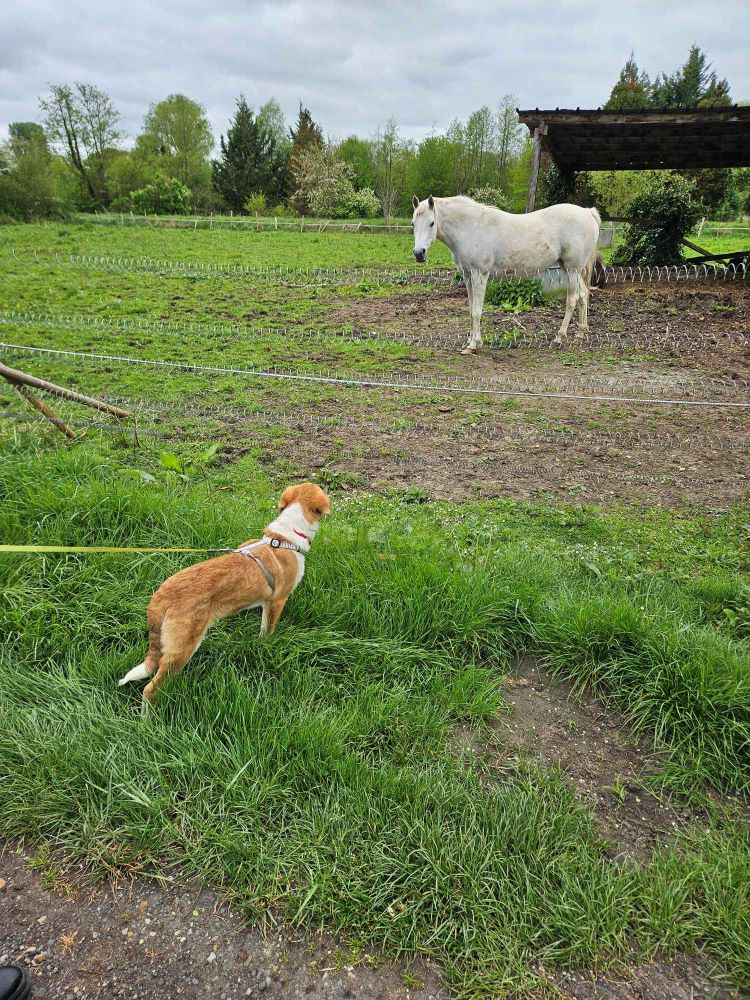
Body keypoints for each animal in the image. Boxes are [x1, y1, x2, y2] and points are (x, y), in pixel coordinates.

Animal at [119, 482, 330, 712]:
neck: (285, 537)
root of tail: (162, 595)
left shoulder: (266, 602)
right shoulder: (277, 601)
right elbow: (268, 630)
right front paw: (268, 644)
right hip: (182, 649)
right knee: (150, 689)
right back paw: (150, 717)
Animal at [414, 194, 604, 352]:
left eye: (432, 222)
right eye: (413, 223)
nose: (418, 253)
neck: (471, 228)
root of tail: (588, 212)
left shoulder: (479, 275)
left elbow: (477, 311)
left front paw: (474, 345)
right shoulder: (468, 277)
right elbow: (470, 309)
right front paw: (470, 341)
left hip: (572, 269)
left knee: (572, 299)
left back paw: (559, 337)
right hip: (571, 269)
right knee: (583, 295)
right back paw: (580, 334)